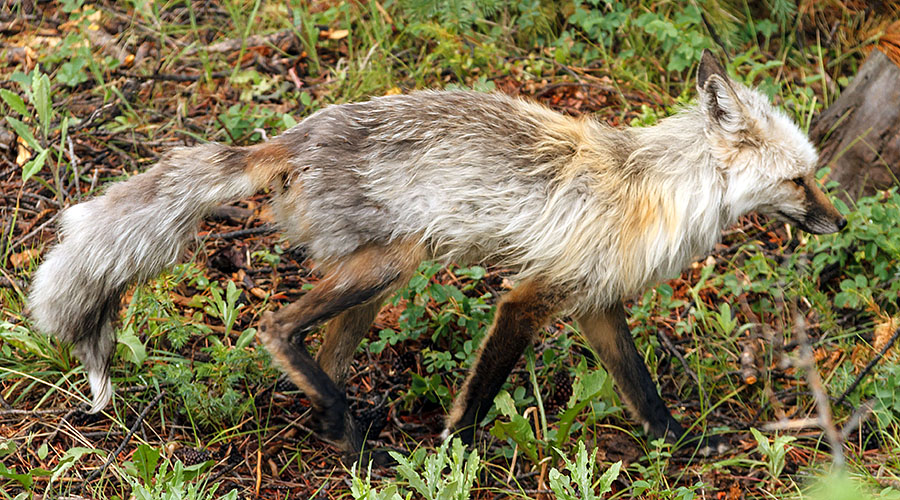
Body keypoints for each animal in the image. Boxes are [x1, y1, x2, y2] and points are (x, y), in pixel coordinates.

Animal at [28, 50, 844, 460]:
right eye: (798, 180)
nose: (839, 222)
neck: (653, 190)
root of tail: (294, 136)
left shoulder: (595, 303)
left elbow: (644, 393)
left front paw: (686, 446)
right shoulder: (531, 296)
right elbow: (481, 393)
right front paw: (454, 453)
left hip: (377, 282)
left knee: (324, 350)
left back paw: (342, 430)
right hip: (396, 262)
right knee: (277, 327)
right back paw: (350, 432)